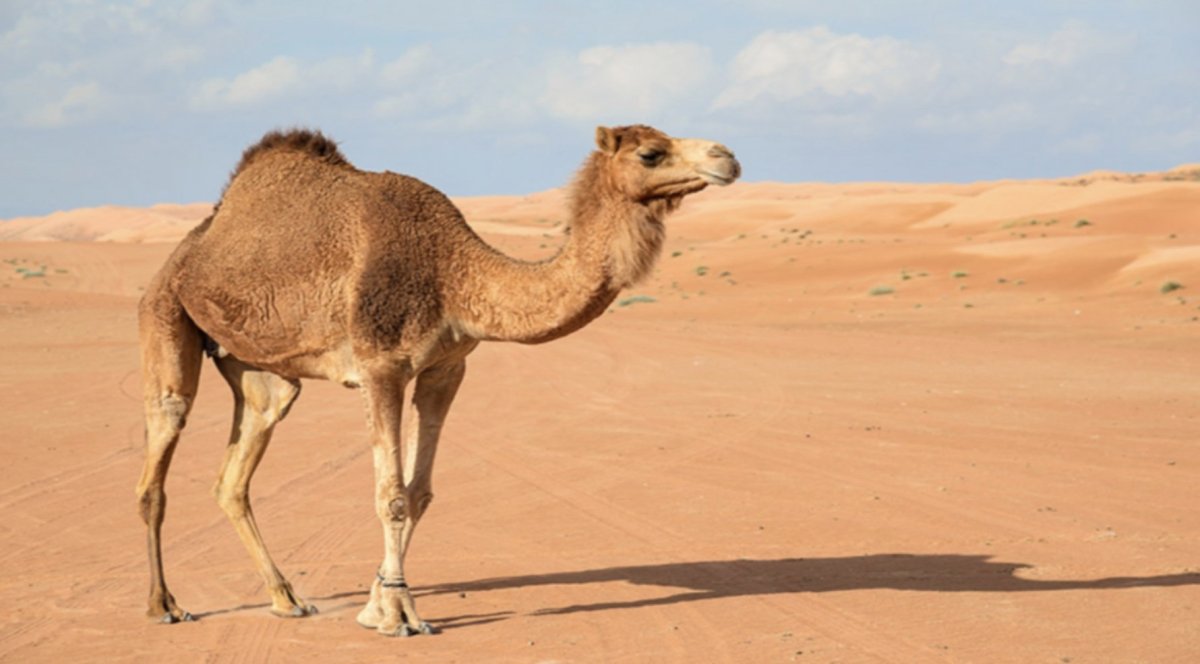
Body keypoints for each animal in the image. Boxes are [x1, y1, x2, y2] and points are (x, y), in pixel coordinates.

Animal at [135, 124, 740, 636]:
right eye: (650, 153)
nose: (727, 157)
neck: (453, 272)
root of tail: (191, 246)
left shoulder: (446, 368)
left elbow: (419, 492)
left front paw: (375, 602)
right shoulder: (380, 366)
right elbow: (391, 495)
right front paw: (398, 614)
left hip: (262, 371)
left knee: (237, 468)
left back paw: (287, 599)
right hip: (164, 313)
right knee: (162, 444)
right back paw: (164, 604)